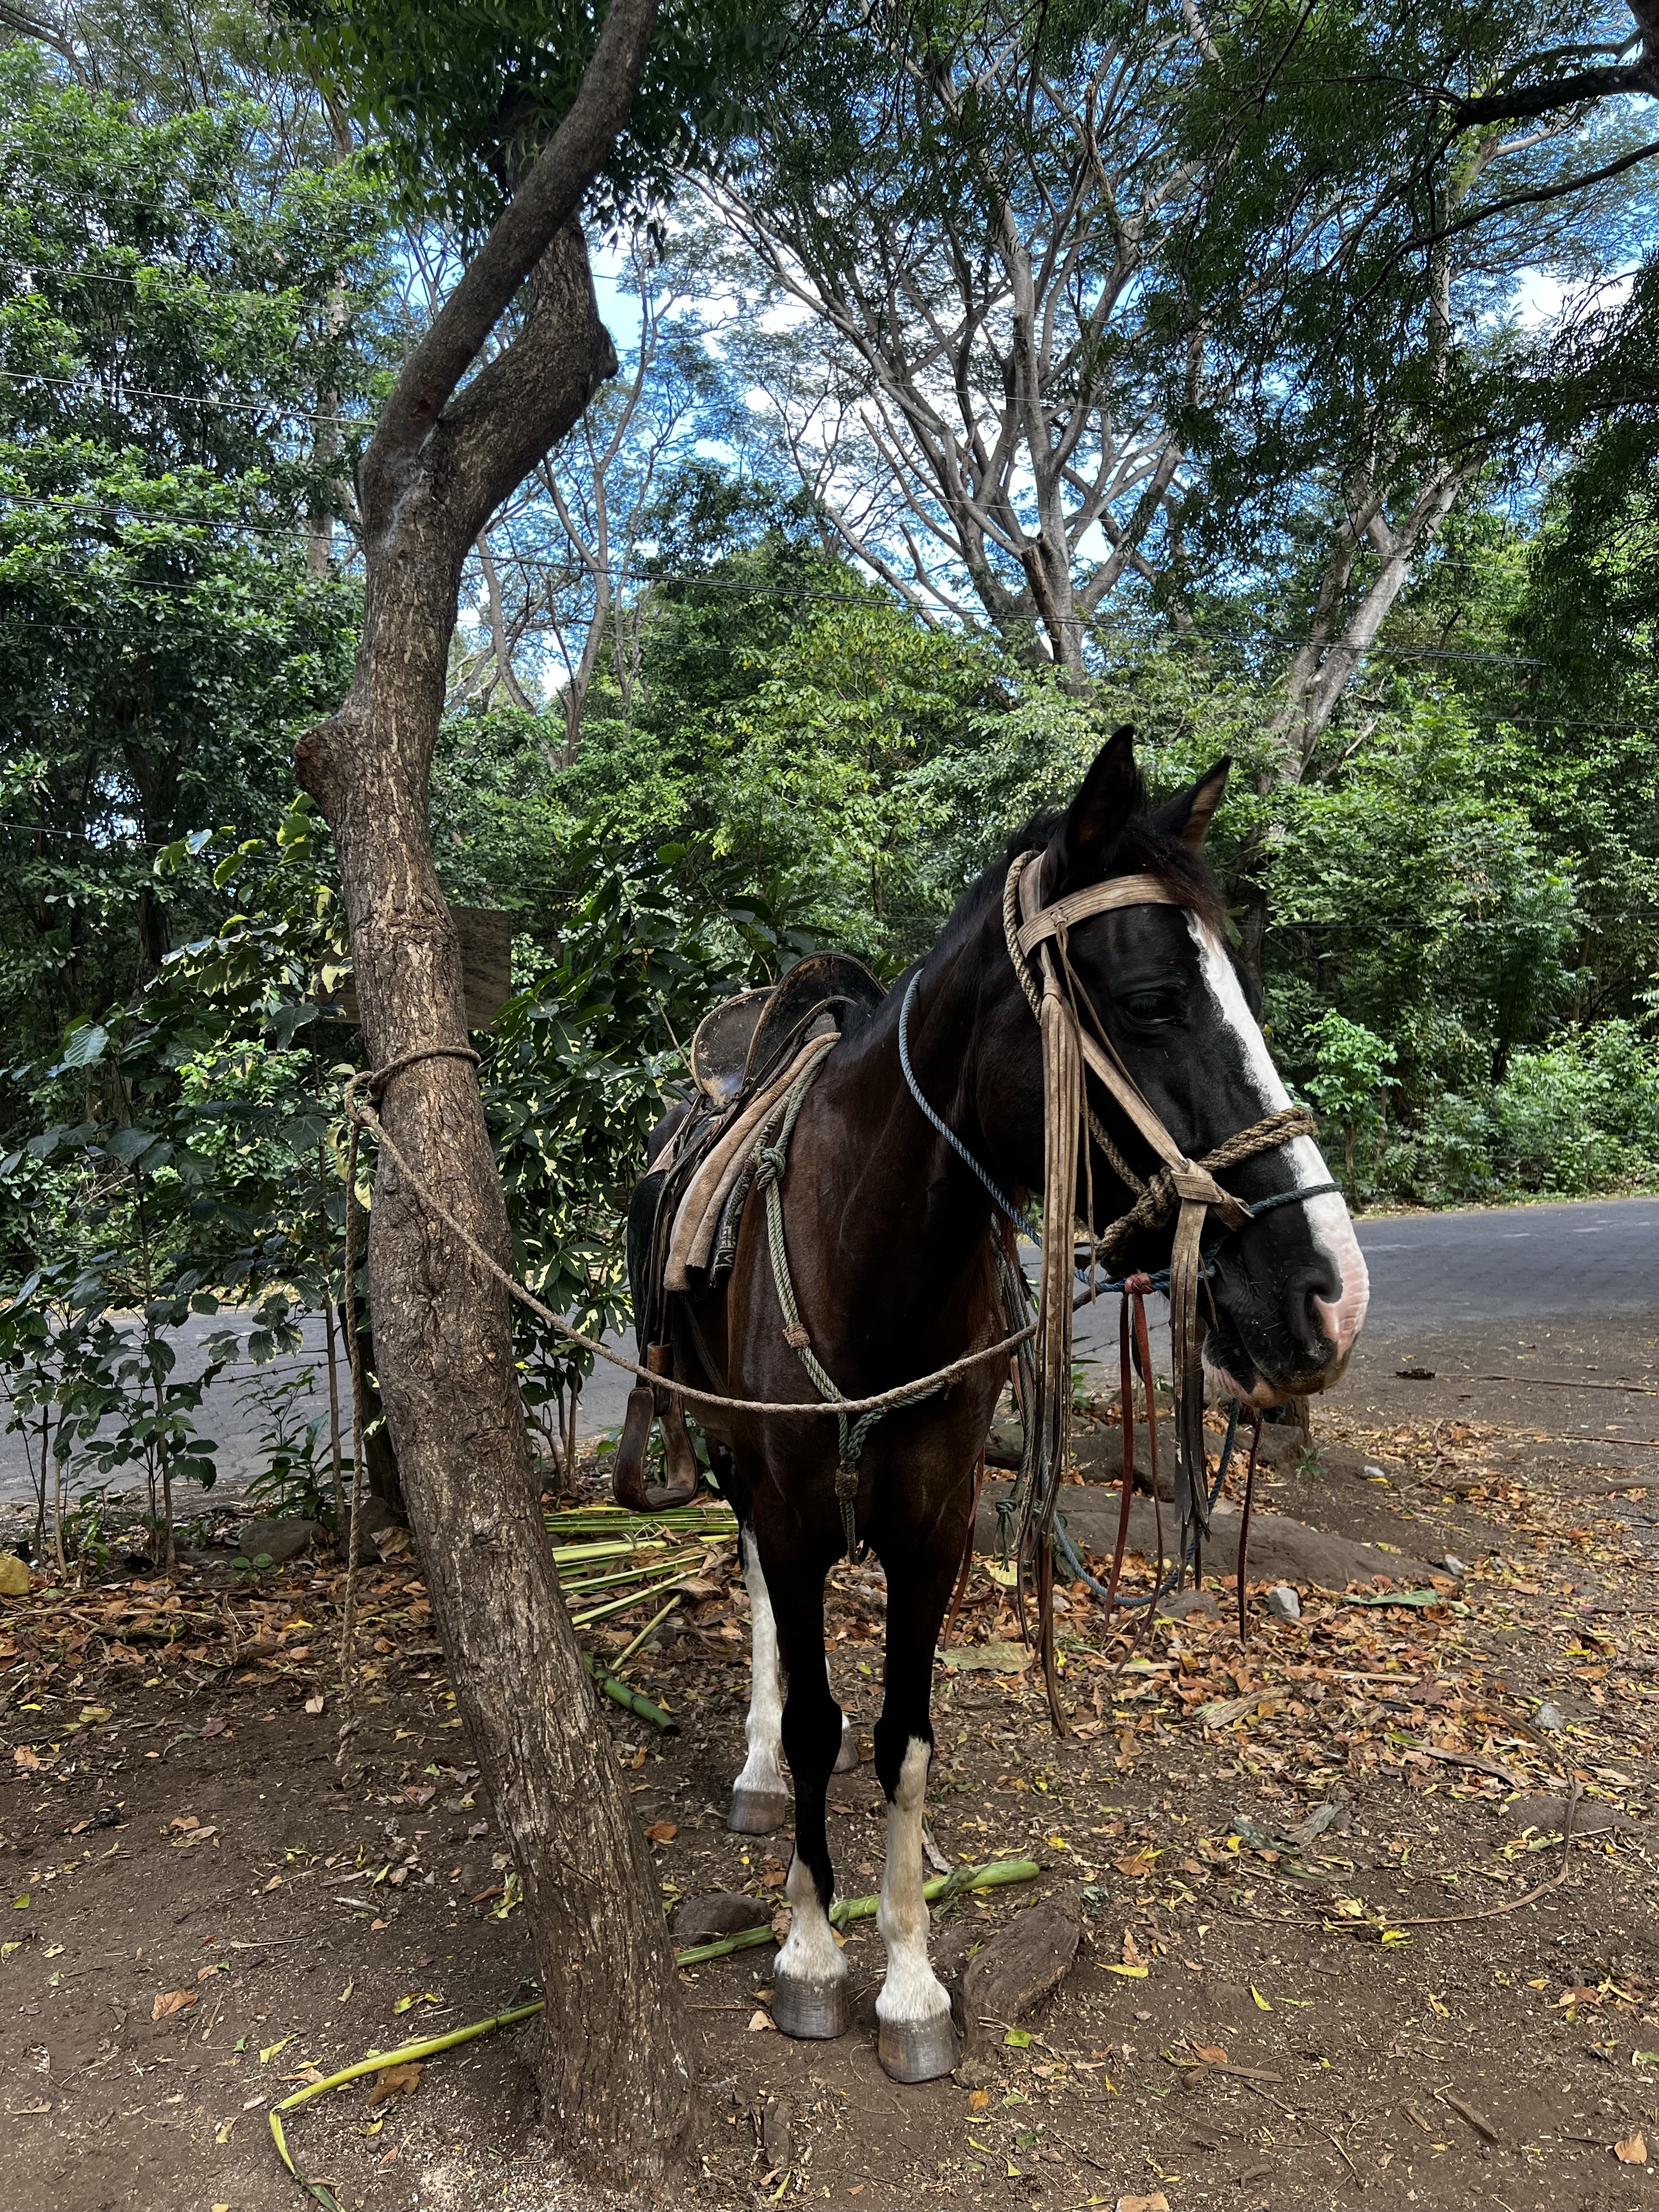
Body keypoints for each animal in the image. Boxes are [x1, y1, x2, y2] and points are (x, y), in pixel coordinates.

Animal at [644, 729, 1369, 2083]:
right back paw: (759, 1772)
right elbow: (818, 1719)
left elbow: (904, 1736)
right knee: (761, 1593)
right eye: (1152, 1001)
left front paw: (910, 1976)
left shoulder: (932, 1526)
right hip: (733, 1455)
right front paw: (811, 1950)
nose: (1331, 1296)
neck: (867, 1256)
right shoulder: (795, 1507)